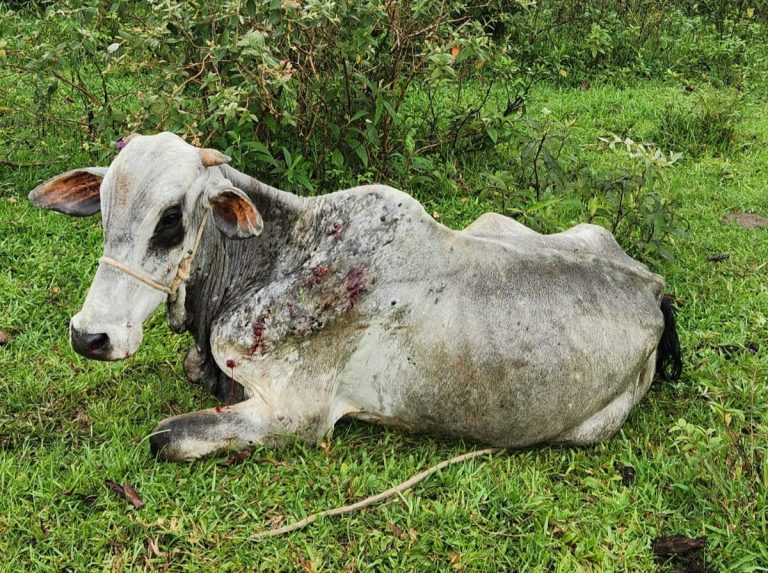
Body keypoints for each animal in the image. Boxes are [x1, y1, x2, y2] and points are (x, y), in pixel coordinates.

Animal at [27, 131, 680, 460]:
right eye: (102, 206)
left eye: (169, 220)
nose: (90, 336)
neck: (279, 255)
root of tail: (653, 287)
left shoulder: (297, 414)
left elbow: (166, 438)